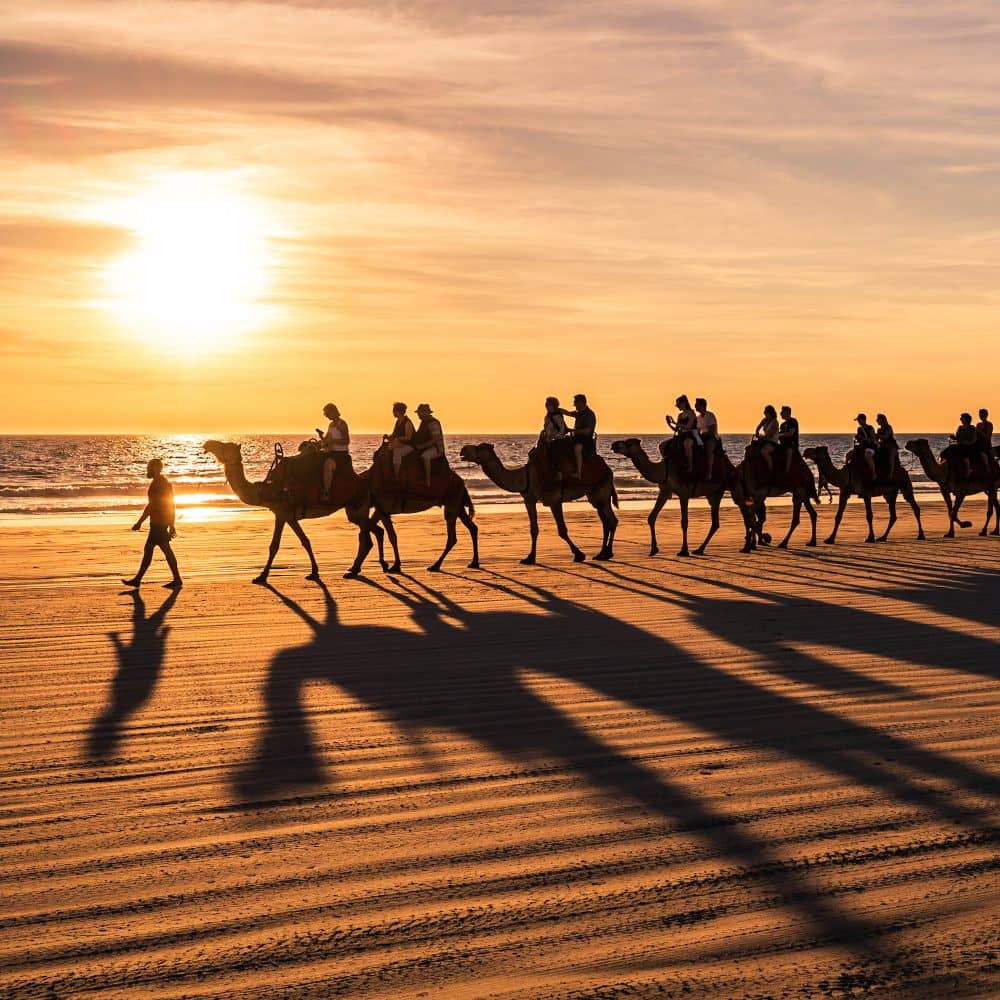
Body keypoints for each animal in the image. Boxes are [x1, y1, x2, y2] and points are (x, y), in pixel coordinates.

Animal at [201, 440, 380, 584]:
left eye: (225, 446)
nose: (207, 444)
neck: (265, 489)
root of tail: (364, 480)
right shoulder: (289, 516)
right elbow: (305, 541)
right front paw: (314, 572)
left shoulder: (281, 512)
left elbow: (274, 545)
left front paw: (261, 576)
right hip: (353, 510)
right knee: (374, 531)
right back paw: (361, 567)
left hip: (358, 505)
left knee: (366, 537)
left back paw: (355, 570)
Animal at [460, 444, 616, 564]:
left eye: (479, 447)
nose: (463, 449)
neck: (525, 476)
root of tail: (607, 468)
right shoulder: (529, 499)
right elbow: (534, 529)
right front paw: (529, 558)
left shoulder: (554, 499)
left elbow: (562, 530)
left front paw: (579, 554)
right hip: (595, 495)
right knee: (606, 520)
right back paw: (602, 553)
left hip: (601, 490)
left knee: (611, 520)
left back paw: (607, 553)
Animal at [608, 438, 736, 560]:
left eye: (628, 443)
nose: (614, 445)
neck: (664, 470)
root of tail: (730, 467)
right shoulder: (664, 491)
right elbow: (651, 518)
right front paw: (654, 549)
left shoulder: (683, 494)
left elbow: (684, 522)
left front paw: (684, 550)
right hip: (713, 493)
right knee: (715, 523)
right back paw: (700, 549)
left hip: (719, 491)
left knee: (717, 520)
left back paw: (700, 549)